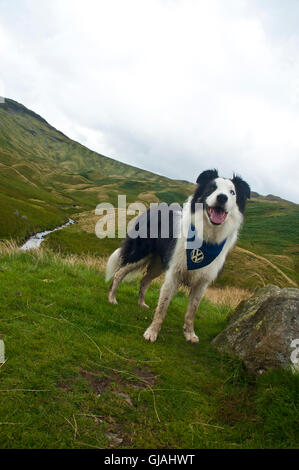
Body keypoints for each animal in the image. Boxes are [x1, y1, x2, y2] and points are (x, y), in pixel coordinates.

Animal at [105, 169, 251, 342]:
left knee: (144, 280)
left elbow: (192, 311)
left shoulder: (202, 283)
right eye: (212, 188)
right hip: (140, 253)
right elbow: (162, 307)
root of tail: (152, 210)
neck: (207, 236)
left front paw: (189, 333)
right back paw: (112, 298)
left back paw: (141, 303)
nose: (222, 198)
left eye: (232, 192)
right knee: (119, 273)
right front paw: (152, 332)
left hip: (159, 264)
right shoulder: (173, 274)